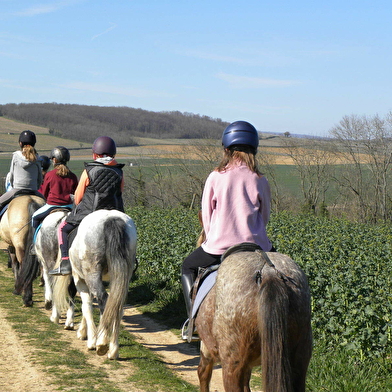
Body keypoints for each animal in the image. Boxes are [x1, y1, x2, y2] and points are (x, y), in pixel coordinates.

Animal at [52, 210, 137, 360]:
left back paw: (101, 342)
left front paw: (91, 339)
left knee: (104, 300)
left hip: (92, 274)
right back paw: (113, 350)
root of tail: (111, 219)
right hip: (122, 275)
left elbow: (86, 306)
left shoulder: (79, 280)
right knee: (116, 305)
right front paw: (83, 332)